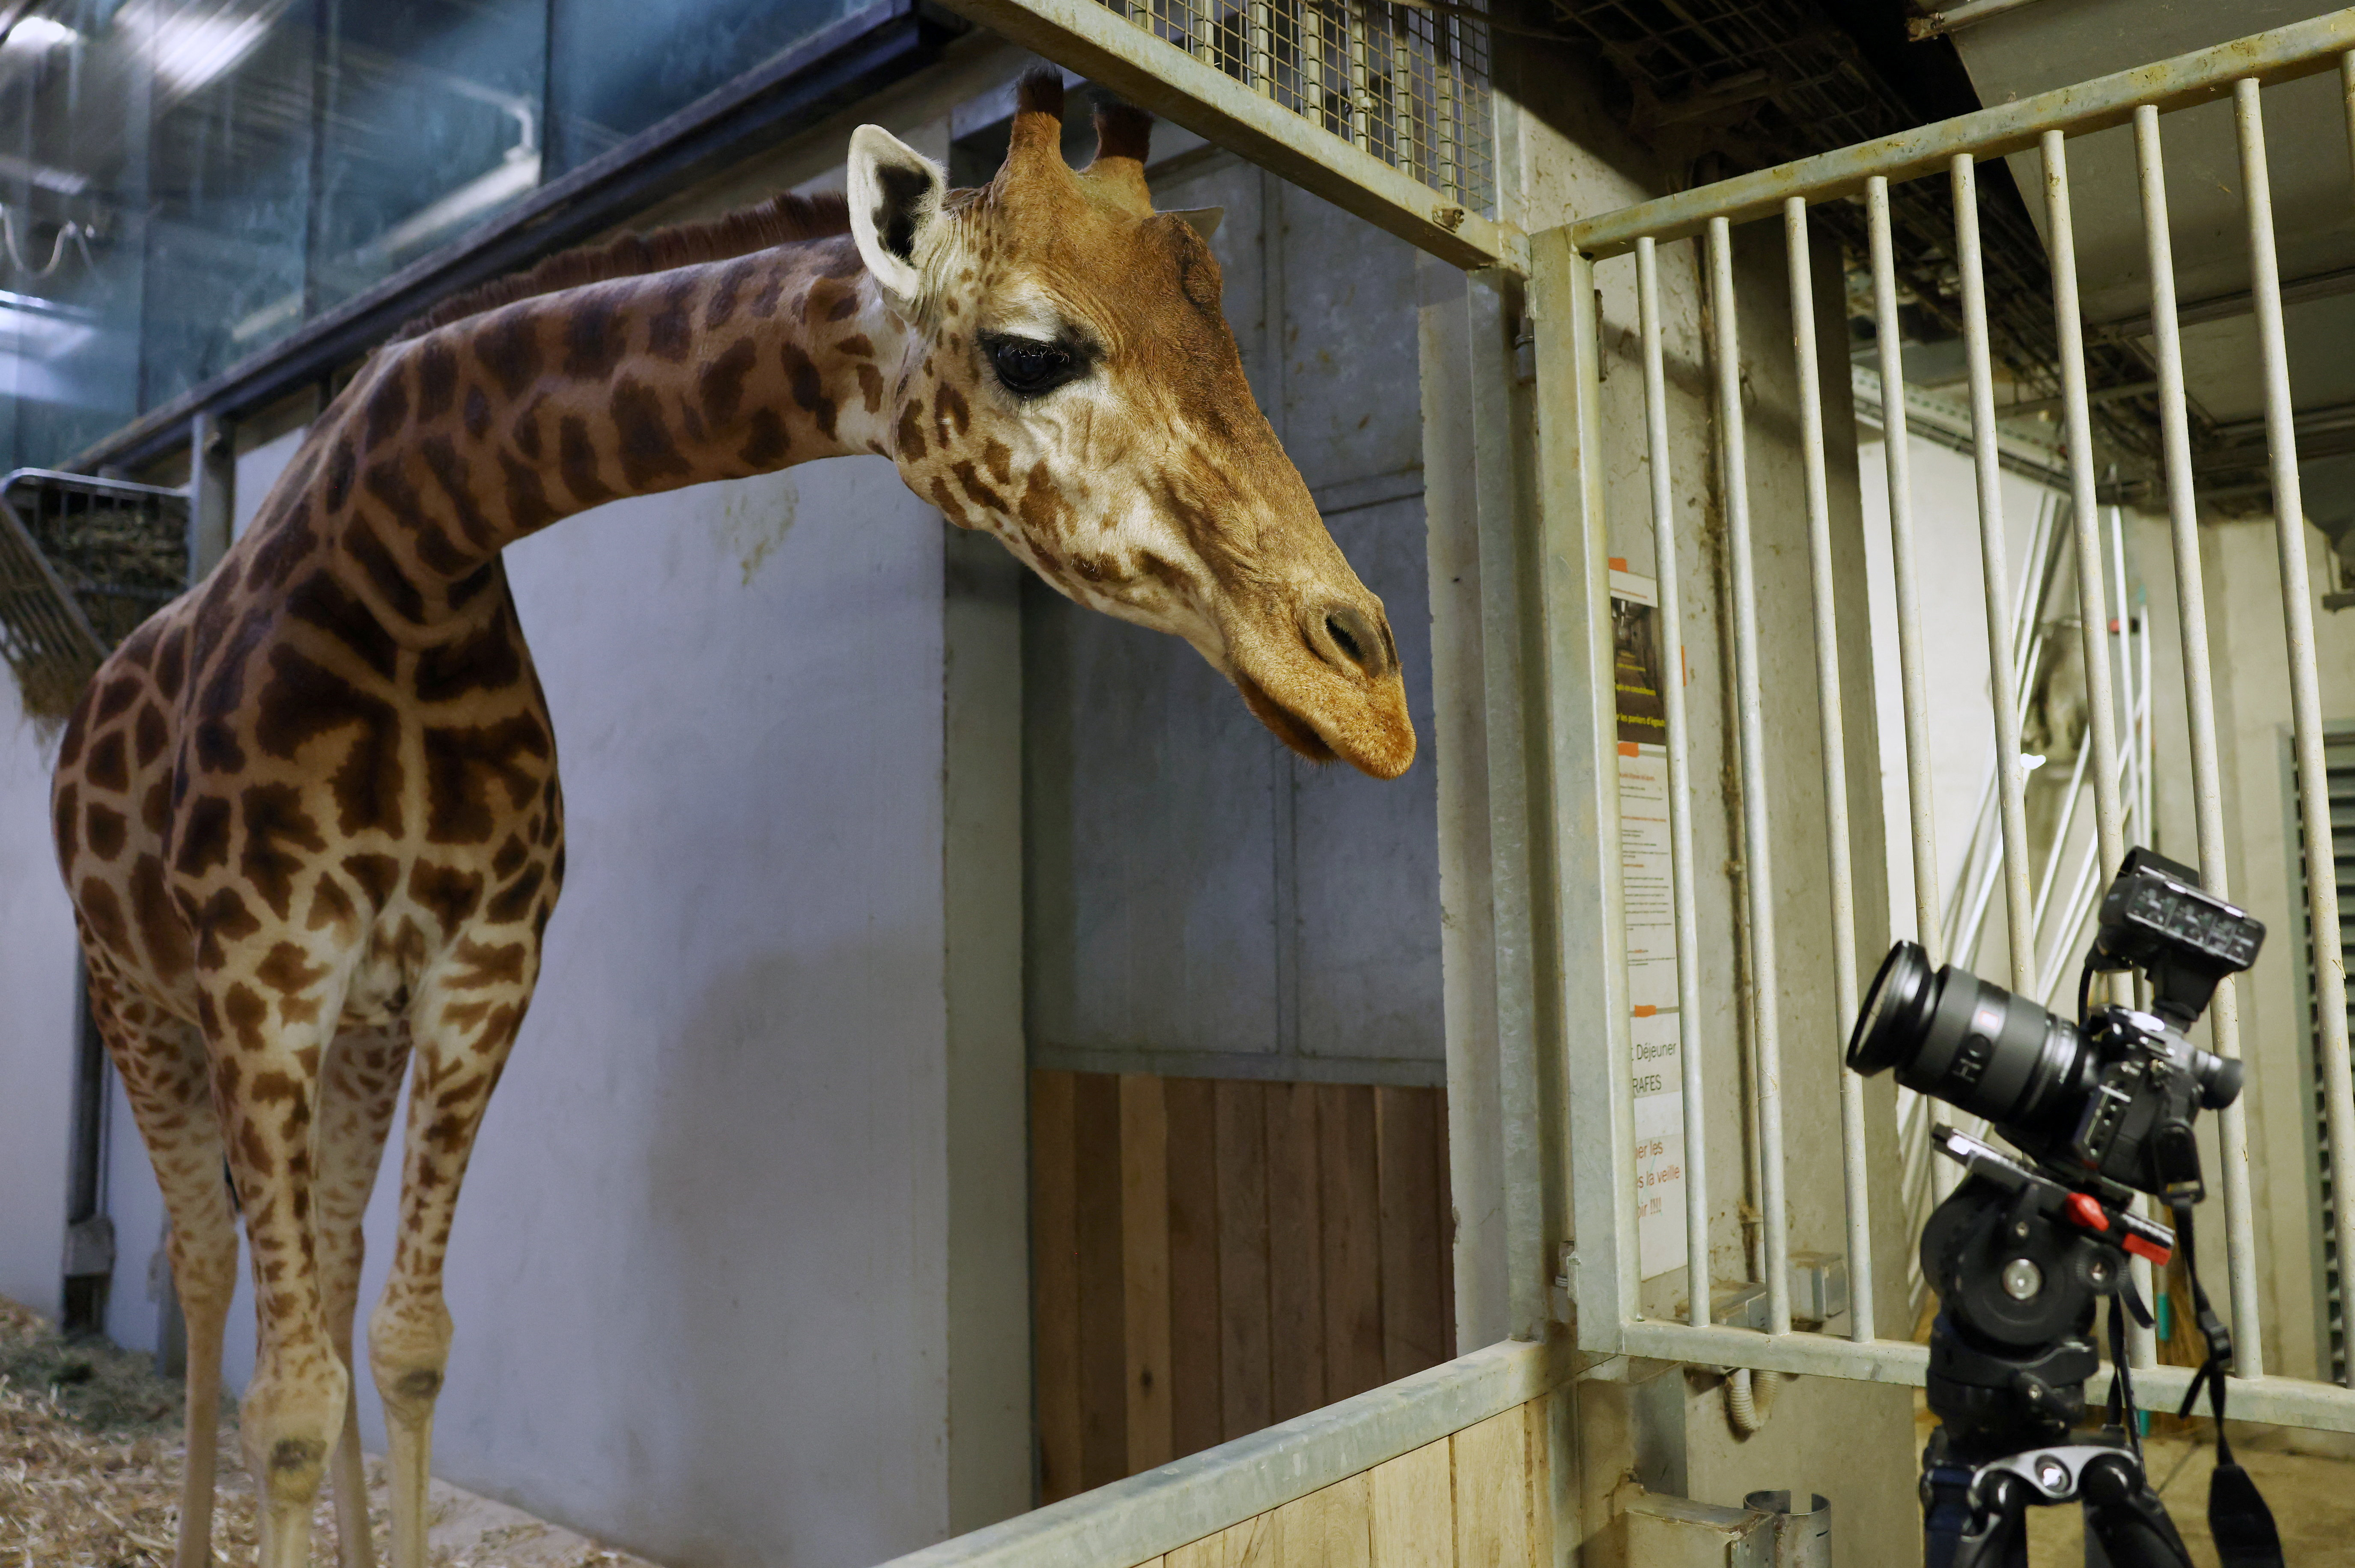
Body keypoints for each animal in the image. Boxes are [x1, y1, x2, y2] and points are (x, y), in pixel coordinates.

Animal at [50, 70, 1414, 1568]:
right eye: (1031, 353)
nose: (1371, 690)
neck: (406, 563)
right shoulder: (263, 976)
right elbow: (283, 1401)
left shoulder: (478, 973)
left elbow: (410, 1343)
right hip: (143, 995)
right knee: (203, 1264)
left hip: (357, 1020)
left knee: (334, 1260)